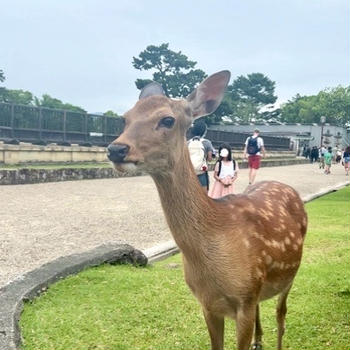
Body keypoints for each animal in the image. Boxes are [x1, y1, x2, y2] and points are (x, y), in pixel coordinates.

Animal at [106, 69, 306, 348]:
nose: (116, 149)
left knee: (281, 314)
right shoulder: (208, 304)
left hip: (290, 273)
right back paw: (259, 340)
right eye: (125, 119)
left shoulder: (244, 298)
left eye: (167, 119)